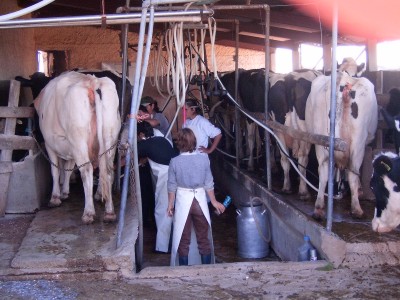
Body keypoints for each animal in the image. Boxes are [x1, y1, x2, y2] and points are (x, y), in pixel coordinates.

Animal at [34, 71, 122, 224]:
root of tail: (92, 81)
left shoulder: (50, 144)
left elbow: (55, 170)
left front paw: (55, 197)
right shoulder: (69, 148)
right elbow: (68, 168)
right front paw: (64, 191)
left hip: (78, 139)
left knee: (87, 170)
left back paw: (88, 213)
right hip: (110, 138)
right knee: (107, 169)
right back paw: (109, 211)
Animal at [306, 71, 378, 219]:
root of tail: (343, 80)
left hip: (321, 140)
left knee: (323, 171)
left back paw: (319, 208)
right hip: (358, 142)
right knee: (353, 173)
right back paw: (356, 208)